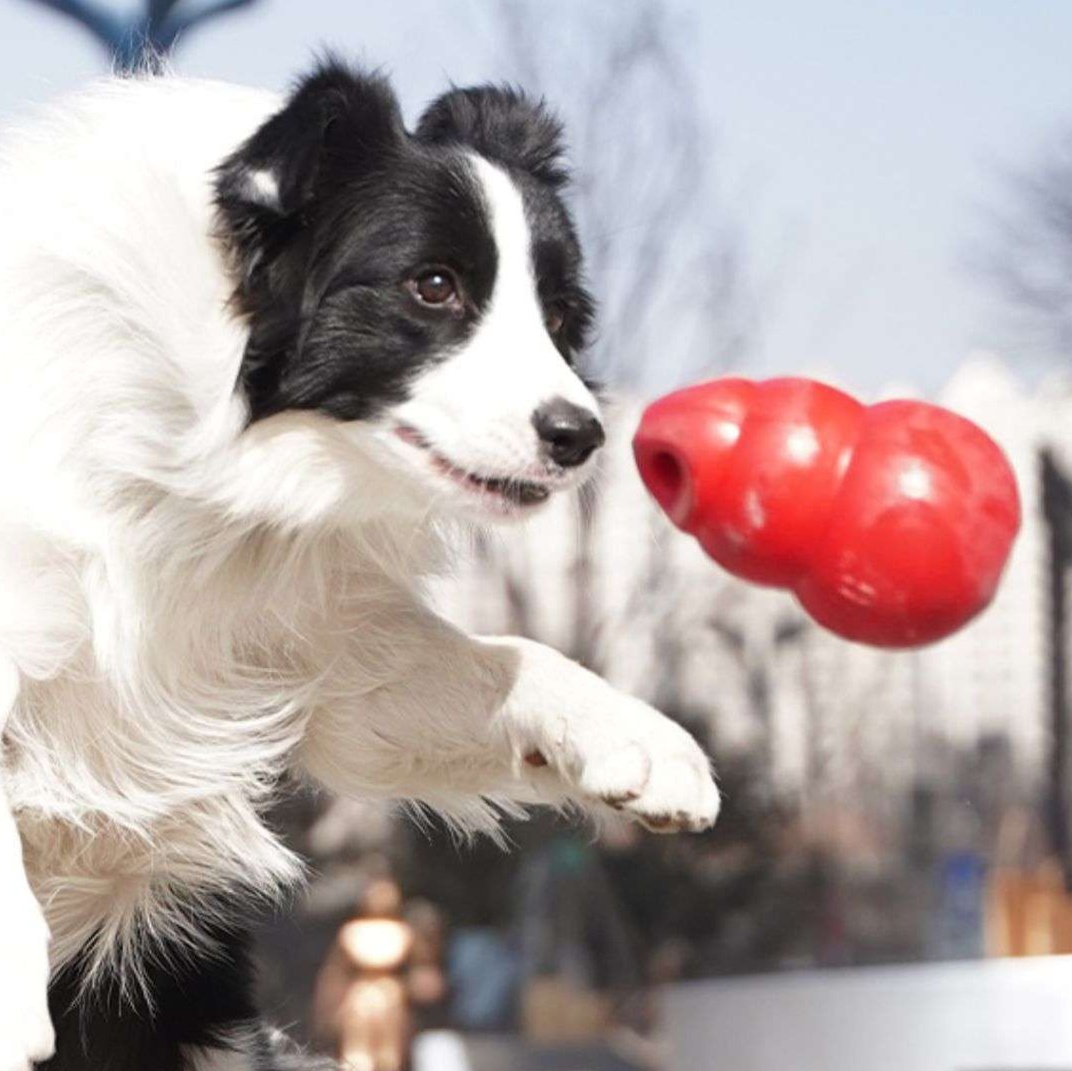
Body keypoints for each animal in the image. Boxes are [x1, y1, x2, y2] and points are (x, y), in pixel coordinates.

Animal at [0, 60, 720, 1071]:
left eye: (560, 317)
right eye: (433, 285)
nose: (581, 435)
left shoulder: (289, 628)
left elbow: (492, 662)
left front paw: (647, 745)